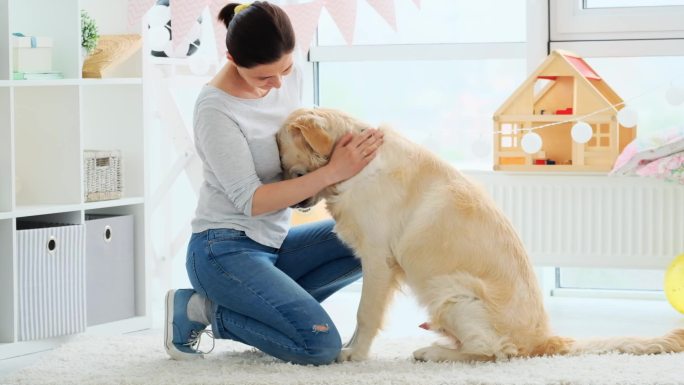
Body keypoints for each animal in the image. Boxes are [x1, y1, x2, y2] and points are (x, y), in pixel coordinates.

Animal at [276, 106, 680, 362]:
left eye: (280, 154)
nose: (283, 193)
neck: (354, 166)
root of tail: (544, 340)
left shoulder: (377, 259)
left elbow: (365, 314)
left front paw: (353, 354)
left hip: (451, 291)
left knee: (491, 353)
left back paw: (433, 352)